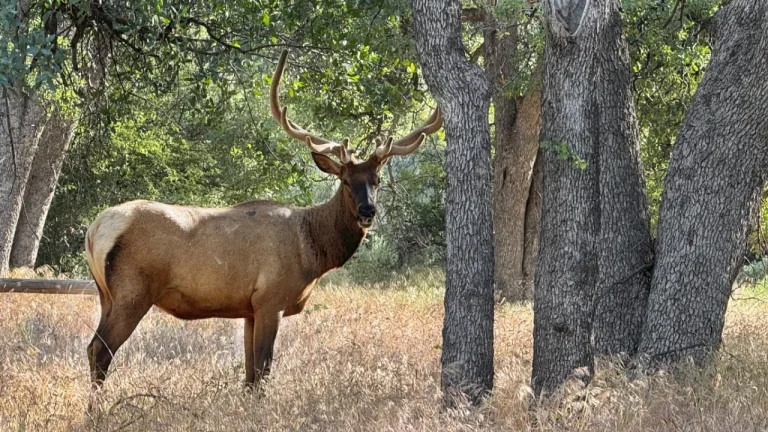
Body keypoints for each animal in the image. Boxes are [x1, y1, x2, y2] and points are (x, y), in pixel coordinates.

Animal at [83, 50, 442, 389]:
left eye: (377, 181)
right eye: (345, 181)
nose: (368, 211)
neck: (312, 252)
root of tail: (95, 229)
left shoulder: (249, 308)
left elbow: (248, 375)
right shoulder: (271, 298)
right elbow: (262, 372)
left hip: (105, 294)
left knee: (91, 347)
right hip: (132, 291)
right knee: (100, 349)